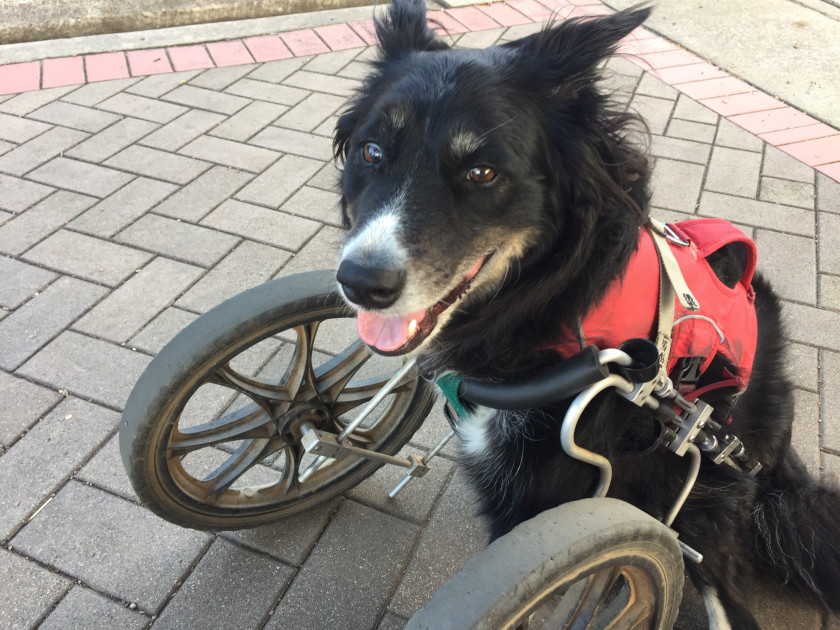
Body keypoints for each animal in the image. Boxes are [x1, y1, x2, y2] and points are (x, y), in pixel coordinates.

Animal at [330, 2, 840, 628]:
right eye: (371, 151)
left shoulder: (551, 498)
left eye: (482, 173)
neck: (550, 311)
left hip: (707, 502)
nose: (359, 283)